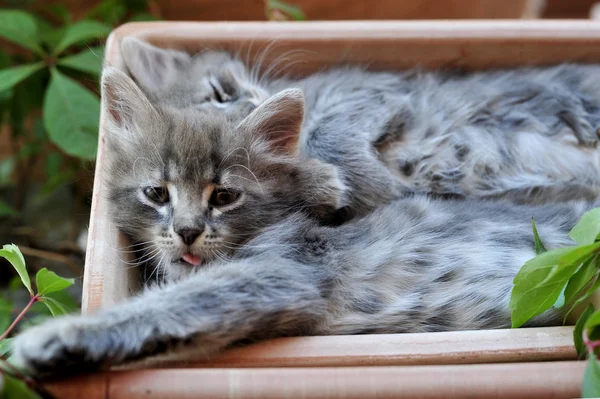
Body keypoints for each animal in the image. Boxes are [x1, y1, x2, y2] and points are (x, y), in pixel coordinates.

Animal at [11, 67, 592, 380]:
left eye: (224, 196)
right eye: (157, 194)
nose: (188, 231)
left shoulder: (281, 274)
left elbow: (165, 307)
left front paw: (57, 339)